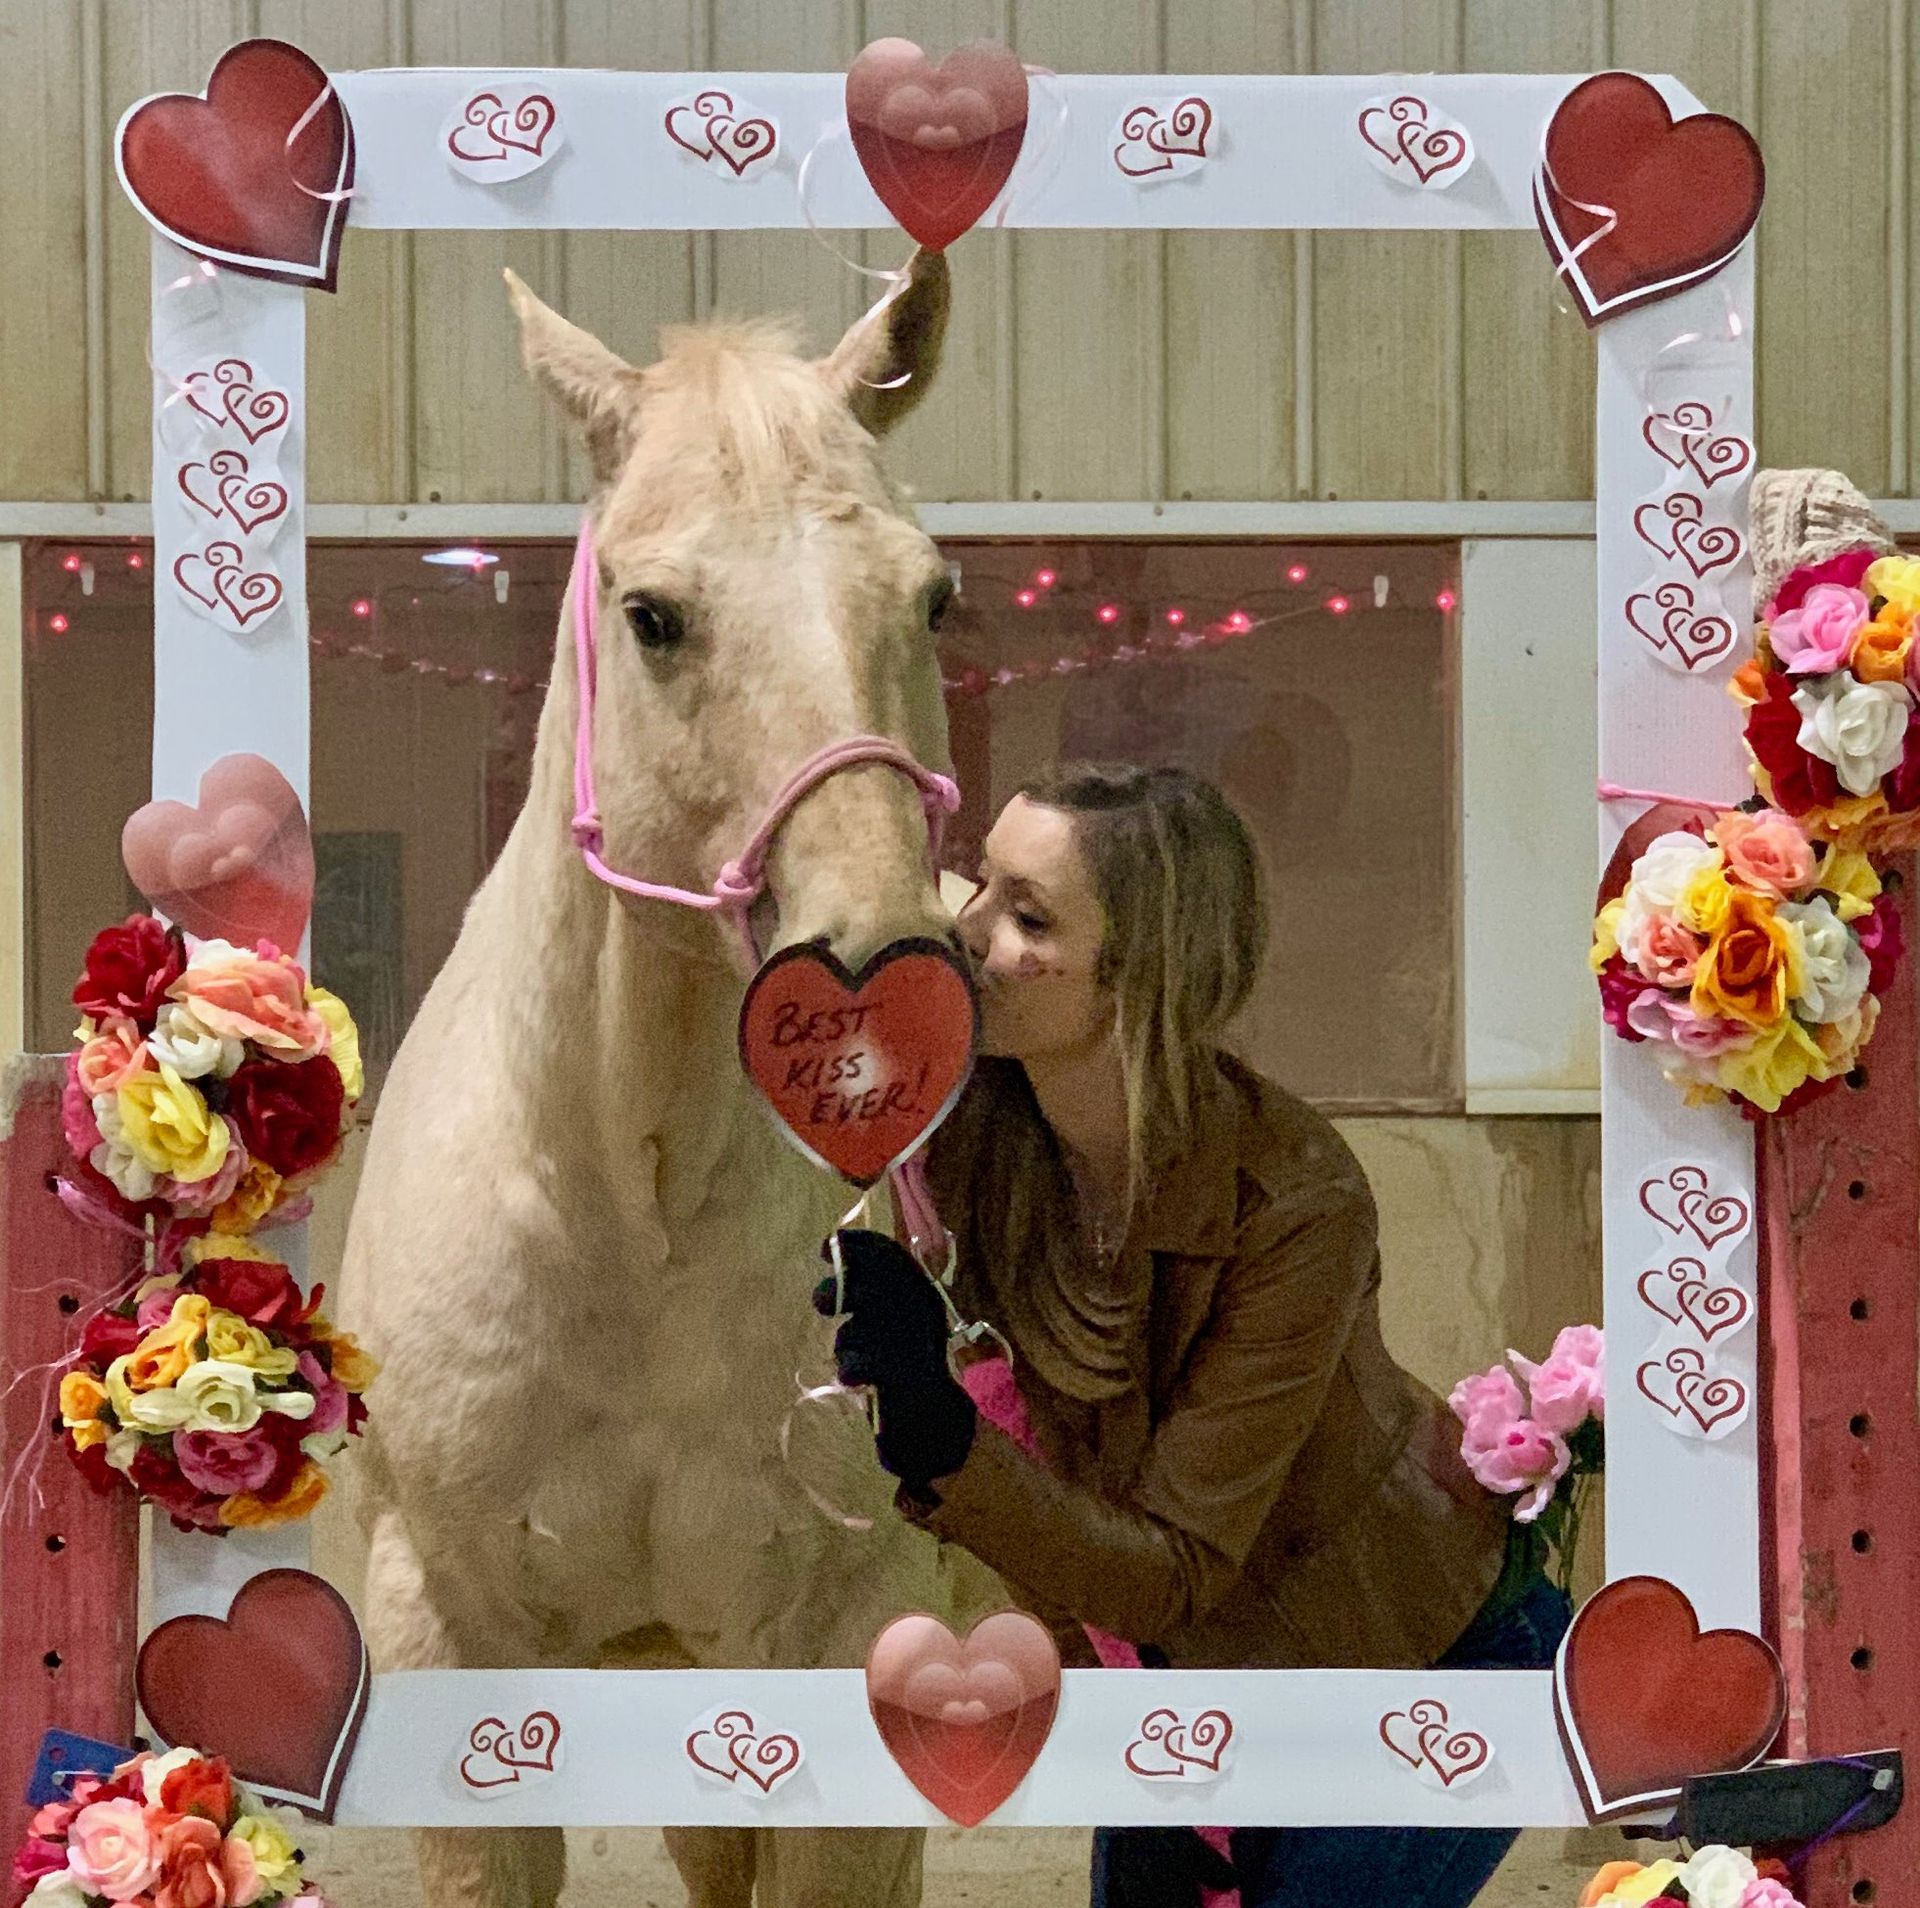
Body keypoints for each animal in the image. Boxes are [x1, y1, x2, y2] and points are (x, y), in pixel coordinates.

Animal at [338, 251, 1002, 1908]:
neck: (633, 1217)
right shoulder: (457, 1637)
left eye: (934, 595)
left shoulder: (845, 1644)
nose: (884, 959)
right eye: (653, 616)